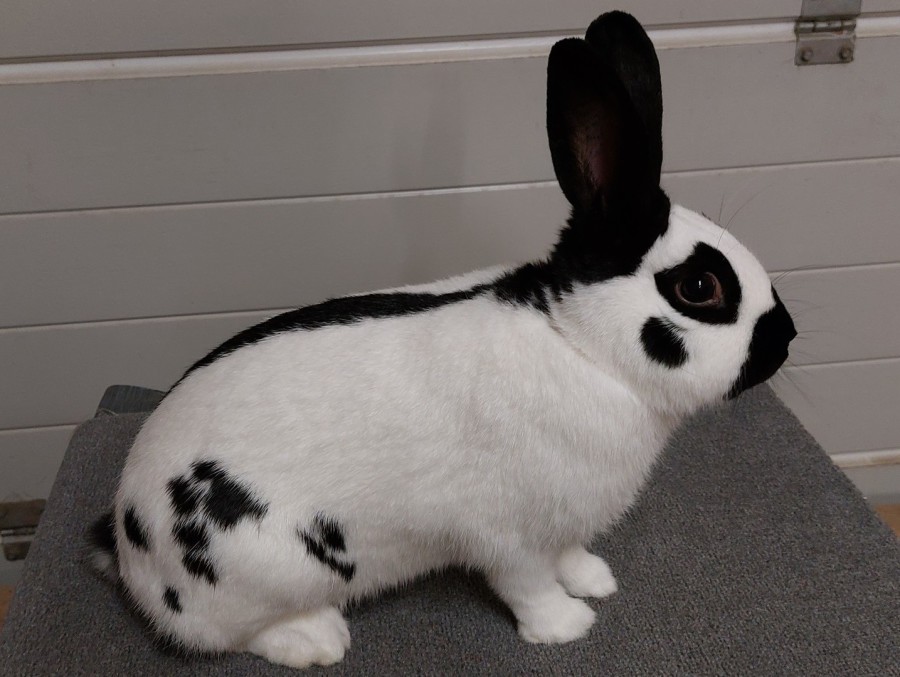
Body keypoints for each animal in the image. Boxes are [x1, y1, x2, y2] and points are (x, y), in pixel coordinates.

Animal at [89, 10, 796, 670]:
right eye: (699, 287)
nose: (786, 340)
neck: (578, 344)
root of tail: (129, 549)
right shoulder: (505, 533)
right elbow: (528, 584)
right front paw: (567, 627)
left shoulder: (562, 523)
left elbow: (568, 556)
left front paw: (596, 580)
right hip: (267, 570)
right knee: (225, 635)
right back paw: (318, 639)